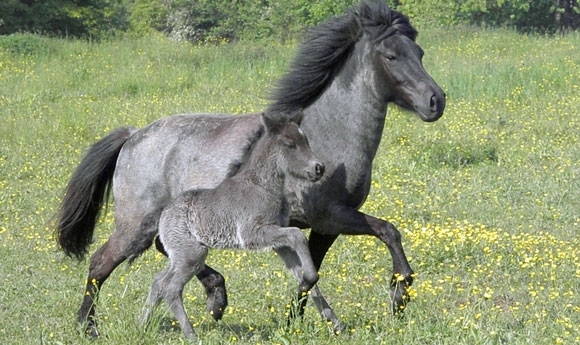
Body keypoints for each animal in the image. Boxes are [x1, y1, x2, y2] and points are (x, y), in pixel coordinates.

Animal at [139, 111, 324, 338]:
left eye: (306, 141)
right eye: (290, 144)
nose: (319, 168)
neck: (263, 187)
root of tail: (164, 214)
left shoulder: (276, 237)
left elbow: (295, 251)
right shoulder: (252, 233)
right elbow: (296, 233)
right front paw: (311, 276)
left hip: (181, 254)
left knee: (158, 282)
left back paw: (141, 325)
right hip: (192, 255)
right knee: (171, 288)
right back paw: (191, 334)